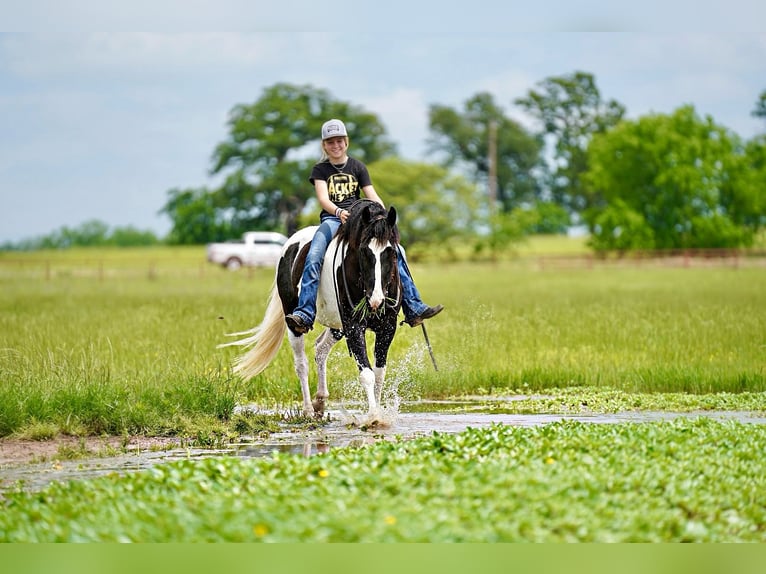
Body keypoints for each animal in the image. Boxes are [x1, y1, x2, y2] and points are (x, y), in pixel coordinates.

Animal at [220, 200, 404, 420]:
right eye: (363, 251)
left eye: (391, 252)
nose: (376, 301)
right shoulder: (353, 326)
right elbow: (367, 374)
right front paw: (374, 418)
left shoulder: (387, 328)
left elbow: (379, 374)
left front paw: (380, 415)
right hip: (294, 322)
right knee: (301, 364)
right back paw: (308, 409)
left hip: (336, 326)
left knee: (320, 349)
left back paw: (320, 401)